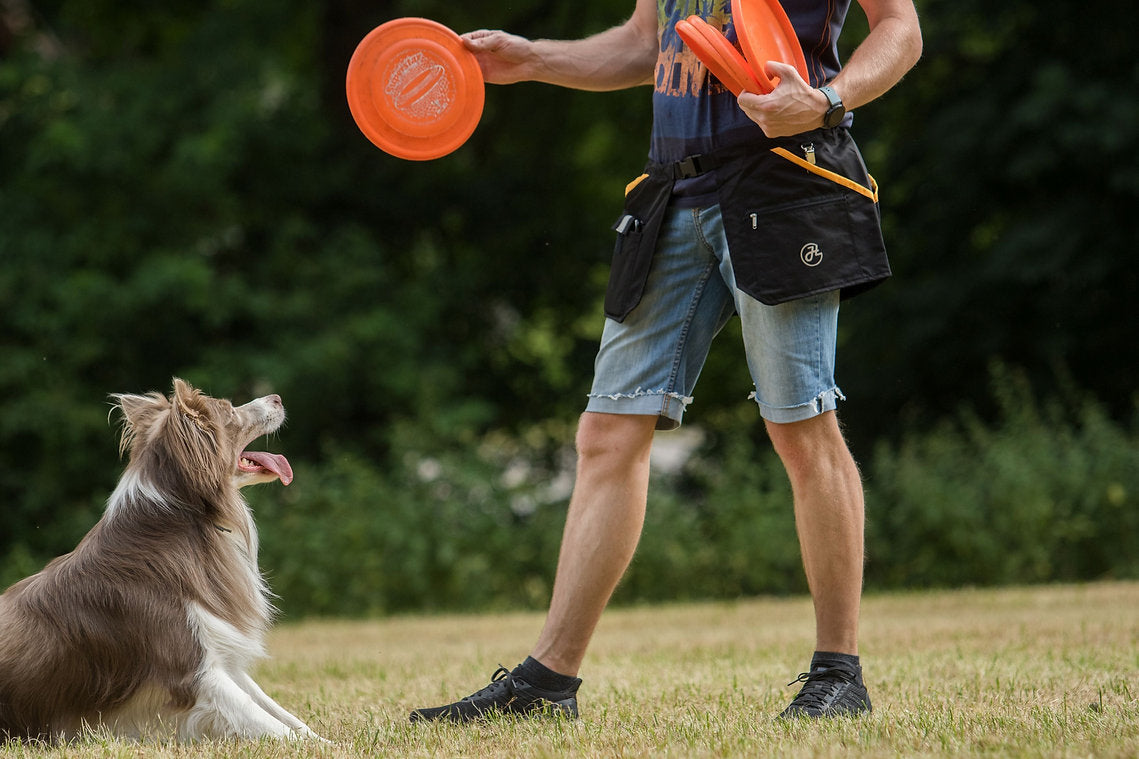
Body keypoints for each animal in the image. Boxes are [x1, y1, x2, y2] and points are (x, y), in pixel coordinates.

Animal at [1, 378, 321, 738]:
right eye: (229, 411)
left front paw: (323, 738)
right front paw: (324, 745)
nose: (276, 398)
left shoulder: (218, 654)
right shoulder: (193, 672)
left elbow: (282, 714)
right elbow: (268, 722)